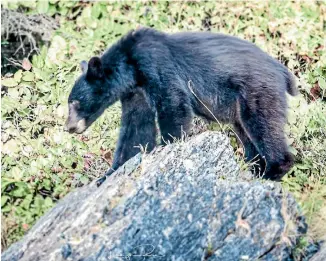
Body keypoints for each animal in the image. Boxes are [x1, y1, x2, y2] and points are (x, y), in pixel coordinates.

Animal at [65, 26, 298, 185]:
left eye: (74, 102)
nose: (69, 127)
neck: (131, 70)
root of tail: (283, 70)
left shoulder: (156, 65)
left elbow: (173, 102)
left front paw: (169, 146)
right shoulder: (135, 93)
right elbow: (135, 129)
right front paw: (109, 173)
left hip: (257, 92)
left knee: (263, 126)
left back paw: (273, 170)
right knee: (246, 133)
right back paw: (255, 167)